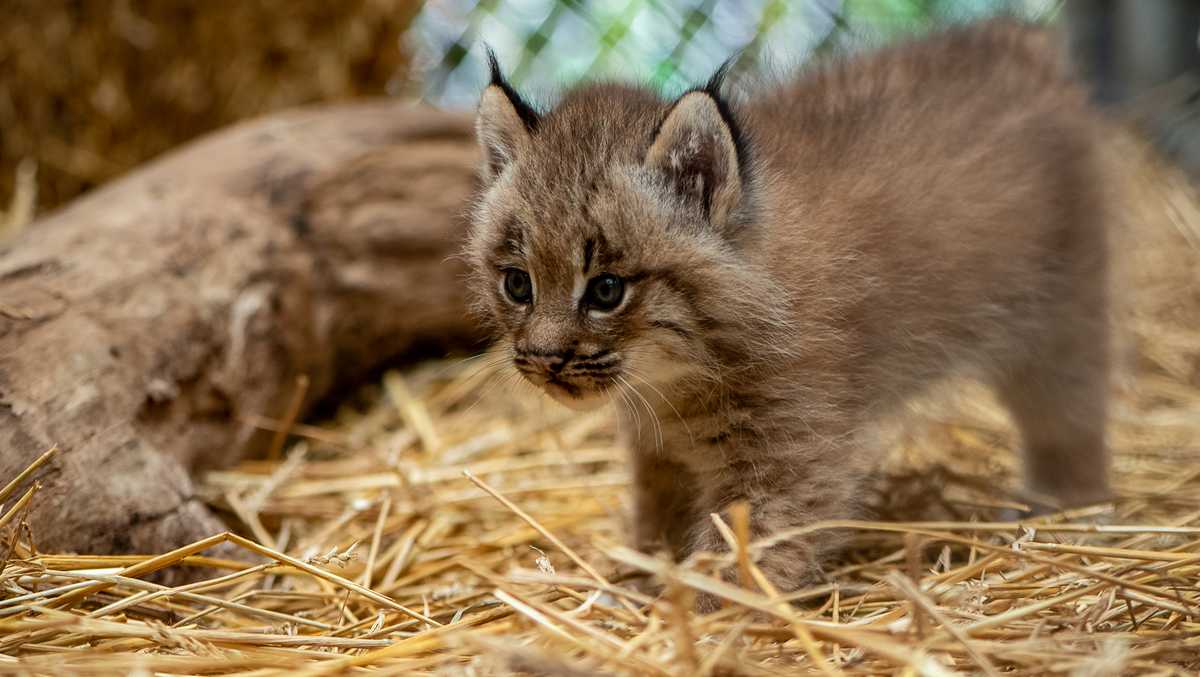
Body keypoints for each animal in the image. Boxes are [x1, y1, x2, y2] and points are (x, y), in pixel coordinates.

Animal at [463, 18, 1108, 604]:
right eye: (517, 284)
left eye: (605, 291)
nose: (543, 359)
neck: (673, 377)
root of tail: (1020, 37)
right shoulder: (657, 445)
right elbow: (658, 520)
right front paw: (638, 582)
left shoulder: (789, 460)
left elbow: (739, 561)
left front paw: (695, 620)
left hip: (1062, 313)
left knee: (1070, 415)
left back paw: (1069, 508)